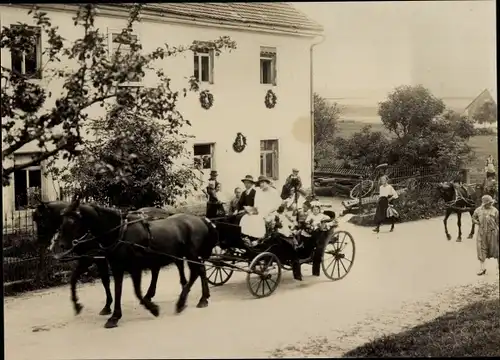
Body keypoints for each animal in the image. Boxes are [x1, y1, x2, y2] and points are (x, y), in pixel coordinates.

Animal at [31, 201, 180, 316]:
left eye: (41, 219)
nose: (39, 242)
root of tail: (165, 213)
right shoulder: (91, 258)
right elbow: (75, 279)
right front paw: (78, 304)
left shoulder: (94, 258)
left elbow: (103, 280)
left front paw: (106, 306)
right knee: (155, 269)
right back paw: (149, 295)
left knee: (155, 269)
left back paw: (149, 295)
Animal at [55, 200, 219, 330]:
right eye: (62, 220)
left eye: (73, 221)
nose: (61, 245)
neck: (120, 233)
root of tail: (201, 219)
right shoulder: (116, 267)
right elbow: (117, 289)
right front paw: (114, 316)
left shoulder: (134, 267)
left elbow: (137, 292)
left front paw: (153, 309)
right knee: (198, 270)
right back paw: (201, 297)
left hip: (191, 254)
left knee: (196, 271)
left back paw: (183, 302)